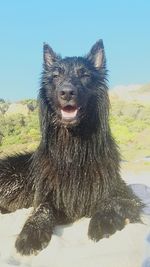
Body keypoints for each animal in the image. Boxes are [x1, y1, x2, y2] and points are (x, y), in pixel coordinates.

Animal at [0, 39, 142, 255]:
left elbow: (112, 200)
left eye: (84, 75)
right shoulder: (47, 195)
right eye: (56, 76)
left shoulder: (127, 194)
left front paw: (102, 222)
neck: (73, 149)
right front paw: (30, 234)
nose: (66, 92)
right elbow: (41, 209)